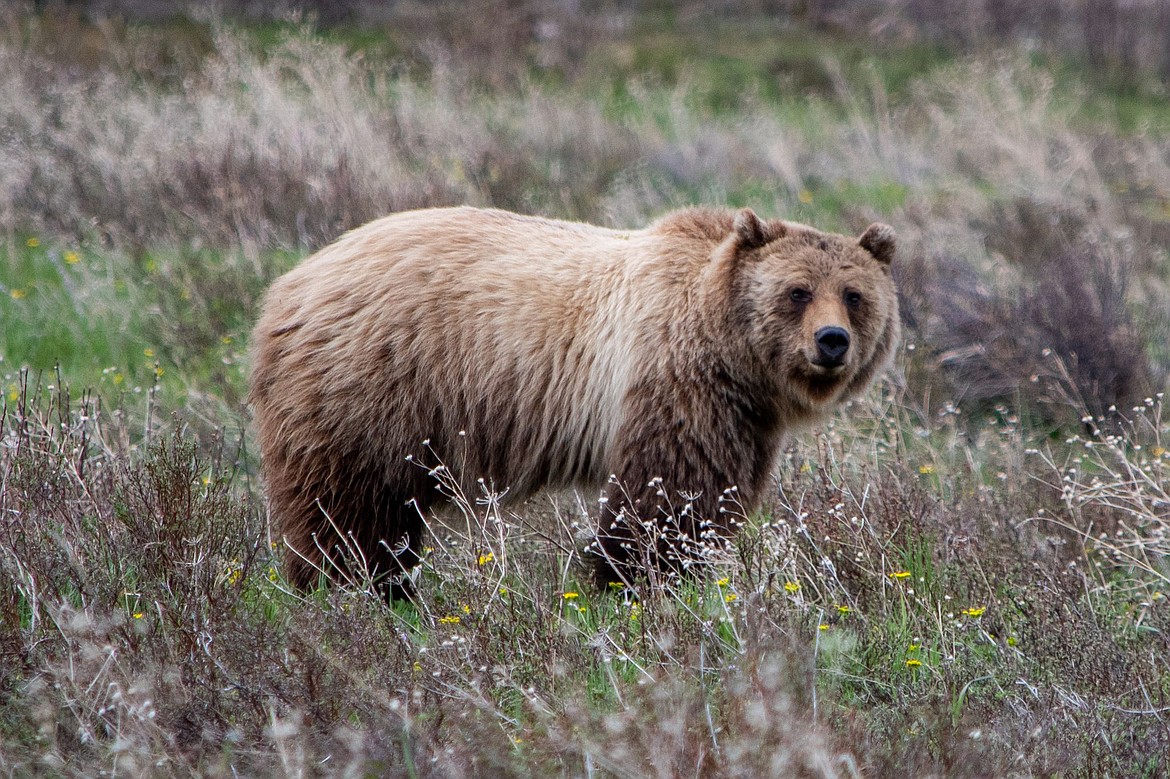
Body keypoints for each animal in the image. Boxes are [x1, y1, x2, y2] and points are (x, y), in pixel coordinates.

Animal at [251, 203, 898, 591]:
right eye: (797, 291)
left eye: (854, 295)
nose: (832, 340)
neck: (729, 354)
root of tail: (291, 281)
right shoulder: (670, 383)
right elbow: (666, 496)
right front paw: (637, 577)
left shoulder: (745, 418)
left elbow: (713, 496)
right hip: (373, 382)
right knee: (349, 503)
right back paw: (352, 583)